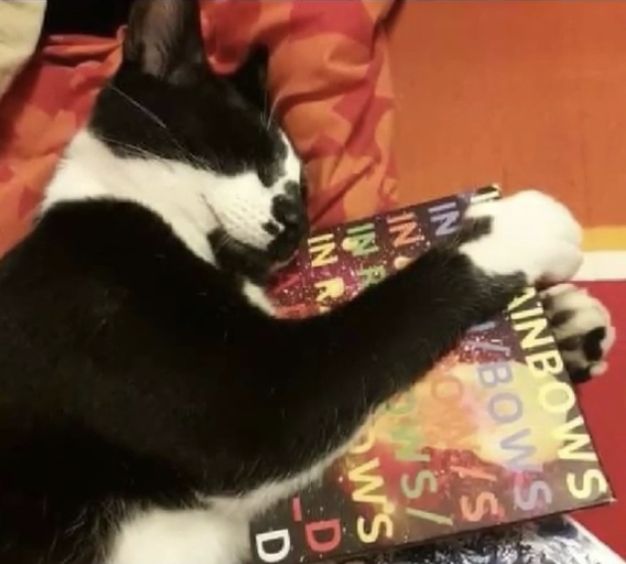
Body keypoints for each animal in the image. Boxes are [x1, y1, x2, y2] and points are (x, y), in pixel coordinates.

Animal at [0, 1, 612, 564]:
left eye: (305, 186)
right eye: (253, 149)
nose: (296, 219)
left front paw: (563, 326)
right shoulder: (222, 391)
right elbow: (387, 315)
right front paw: (518, 226)